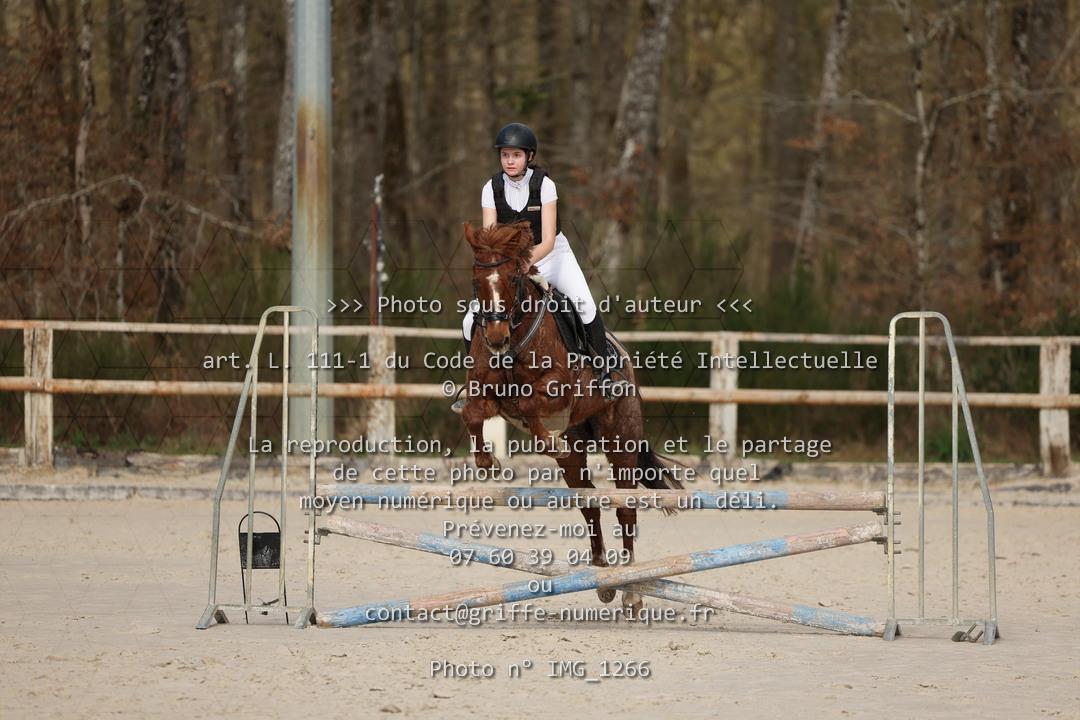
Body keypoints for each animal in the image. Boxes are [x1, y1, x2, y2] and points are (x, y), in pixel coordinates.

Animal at [459, 220, 685, 617]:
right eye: (476, 280)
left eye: (512, 278)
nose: (497, 338)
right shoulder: (485, 393)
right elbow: (474, 413)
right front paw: (488, 463)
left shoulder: (557, 389)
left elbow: (530, 405)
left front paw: (545, 442)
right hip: (580, 446)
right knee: (589, 501)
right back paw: (603, 577)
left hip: (621, 440)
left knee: (625, 508)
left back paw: (630, 589)